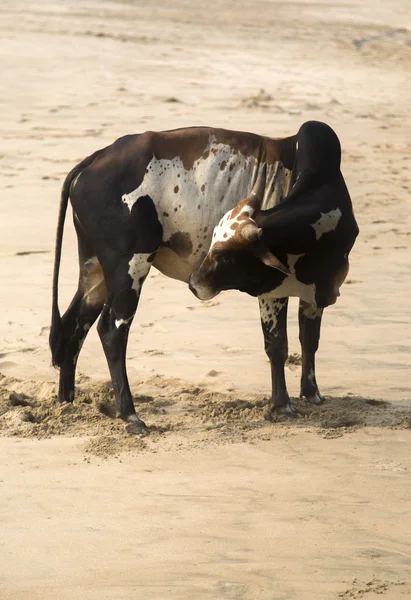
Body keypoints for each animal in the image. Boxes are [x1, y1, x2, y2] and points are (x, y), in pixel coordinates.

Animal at [50, 122, 358, 432]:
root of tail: (95, 159)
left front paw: (312, 394)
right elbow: (277, 346)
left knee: (73, 325)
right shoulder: (272, 292)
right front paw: (282, 406)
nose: (194, 284)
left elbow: (310, 340)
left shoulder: (316, 291)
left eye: (222, 254)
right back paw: (130, 415)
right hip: (130, 267)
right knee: (111, 331)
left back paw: (67, 403)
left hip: (96, 271)